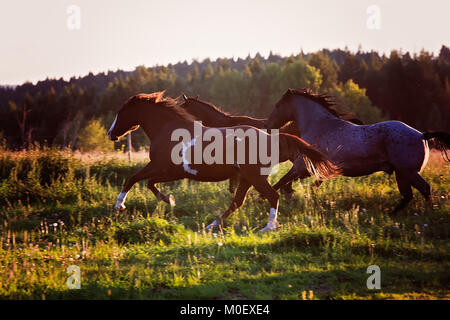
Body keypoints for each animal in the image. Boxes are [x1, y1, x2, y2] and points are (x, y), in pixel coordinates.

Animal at [108, 92, 338, 232]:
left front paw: (121, 205)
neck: (167, 130)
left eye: (121, 112)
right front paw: (168, 199)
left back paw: (268, 227)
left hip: (254, 177)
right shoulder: (170, 171)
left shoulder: (162, 167)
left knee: (272, 195)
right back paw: (212, 225)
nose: (111, 134)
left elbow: (135, 179)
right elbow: (147, 182)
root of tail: (271, 137)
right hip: (247, 178)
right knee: (239, 201)